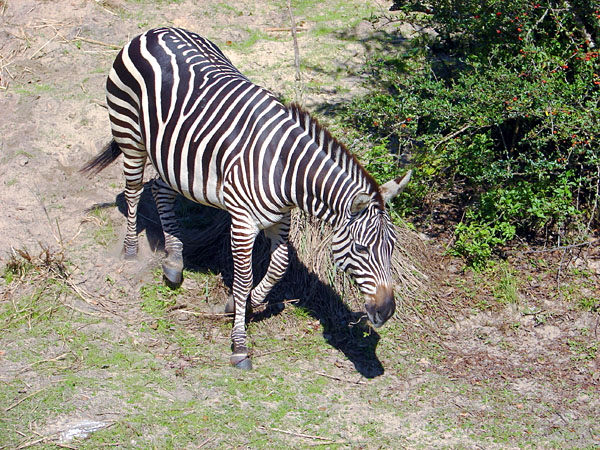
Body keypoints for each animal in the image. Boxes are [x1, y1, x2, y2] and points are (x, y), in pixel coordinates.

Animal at [83, 27, 412, 370]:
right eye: (361, 248)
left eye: (392, 248)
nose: (386, 311)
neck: (285, 170)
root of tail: (155, 30)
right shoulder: (243, 223)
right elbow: (242, 279)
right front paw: (239, 344)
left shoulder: (281, 218)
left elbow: (279, 266)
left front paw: (244, 304)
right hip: (129, 134)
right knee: (133, 192)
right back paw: (130, 250)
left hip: (175, 157)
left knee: (161, 190)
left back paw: (174, 261)